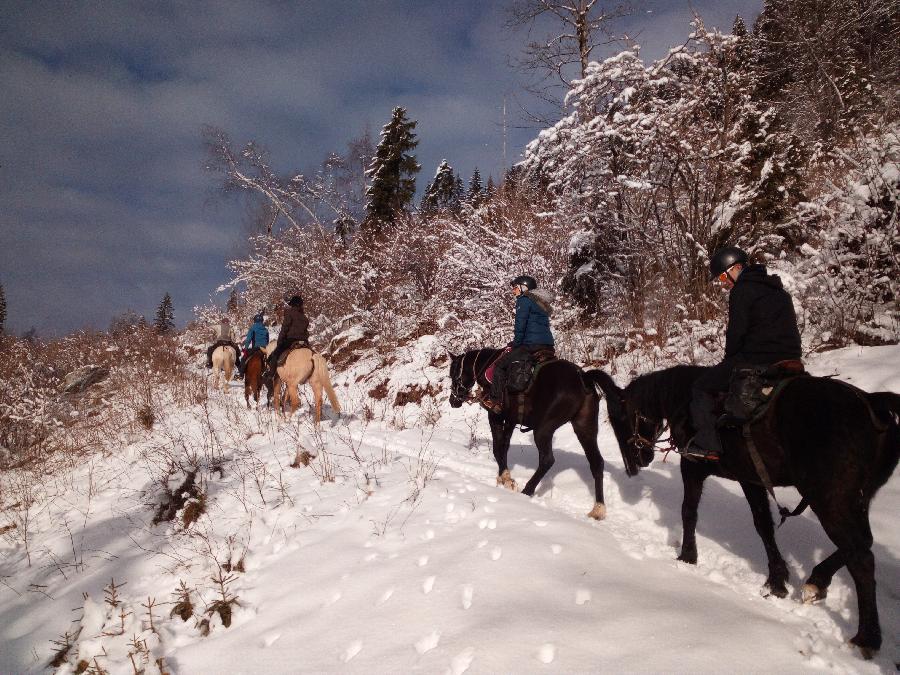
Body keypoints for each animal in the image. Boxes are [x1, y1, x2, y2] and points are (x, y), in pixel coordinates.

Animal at [450, 352, 612, 520]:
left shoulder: (495, 416)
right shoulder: (510, 420)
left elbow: (497, 448)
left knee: (547, 460)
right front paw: (505, 477)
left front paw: (506, 479)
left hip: (543, 429)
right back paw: (598, 509)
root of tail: (582, 377)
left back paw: (527, 491)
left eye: (453, 374)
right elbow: (504, 447)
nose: (453, 401)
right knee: (596, 463)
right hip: (585, 428)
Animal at [592, 368, 900, 656]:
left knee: (861, 557)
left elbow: (689, 512)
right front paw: (777, 580)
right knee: (861, 545)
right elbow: (763, 524)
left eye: (618, 419)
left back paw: (867, 637)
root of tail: (872, 403)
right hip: (855, 500)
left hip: (830, 501)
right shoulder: (751, 479)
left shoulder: (693, 467)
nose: (634, 465)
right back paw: (817, 582)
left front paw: (687, 557)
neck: (682, 397)